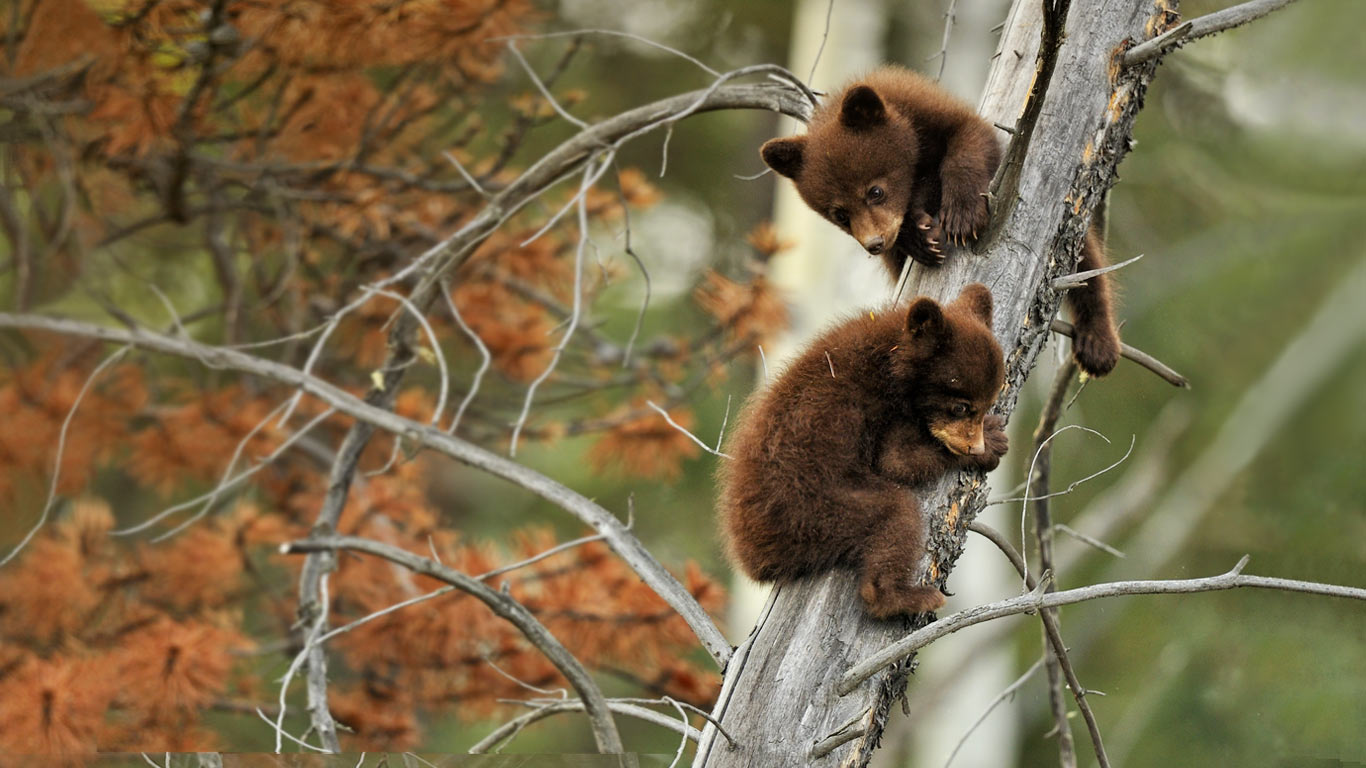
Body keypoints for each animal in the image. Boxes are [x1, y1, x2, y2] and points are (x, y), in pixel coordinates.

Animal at [717, 283, 1009, 619]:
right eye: (961, 407)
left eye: (987, 403)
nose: (975, 444)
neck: (892, 359)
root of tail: (749, 557)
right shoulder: (884, 409)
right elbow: (897, 461)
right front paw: (992, 442)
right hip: (813, 513)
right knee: (897, 511)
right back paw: (904, 597)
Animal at [760, 65, 1121, 378]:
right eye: (840, 214)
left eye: (875, 191)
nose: (875, 243)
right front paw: (919, 237)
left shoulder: (936, 115)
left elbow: (971, 139)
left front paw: (962, 215)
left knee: (1086, 263)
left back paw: (1098, 343)